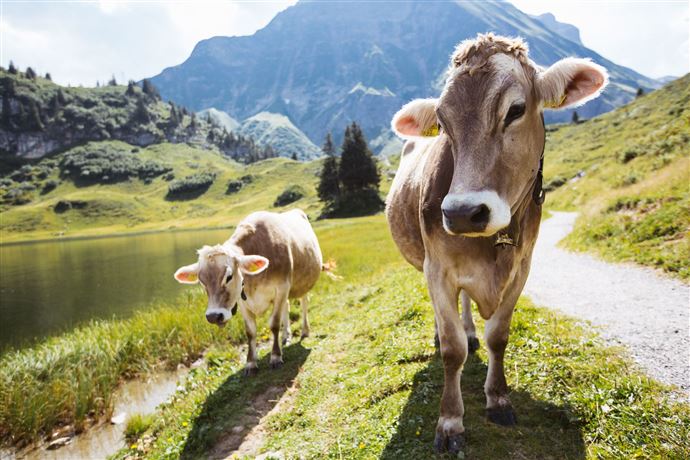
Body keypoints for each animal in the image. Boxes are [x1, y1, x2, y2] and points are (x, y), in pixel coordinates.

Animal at [176, 210, 330, 376]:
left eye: (229, 276)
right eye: (201, 281)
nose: (213, 316)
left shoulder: (281, 287)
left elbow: (274, 324)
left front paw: (276, 356)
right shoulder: (242, 300)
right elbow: (250, 331)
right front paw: (251, 363)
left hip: (303, 284)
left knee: (304, 304)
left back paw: (305, 331)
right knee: (287, 307)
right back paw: (286, 336)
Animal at [384, 34, 604, 454]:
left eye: (516, 110)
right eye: (443, 124)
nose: (462, 213)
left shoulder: (522, 267)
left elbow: (498, 337)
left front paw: (499, 399)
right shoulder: (437, 270)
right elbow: (452, 349)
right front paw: (450, 422)